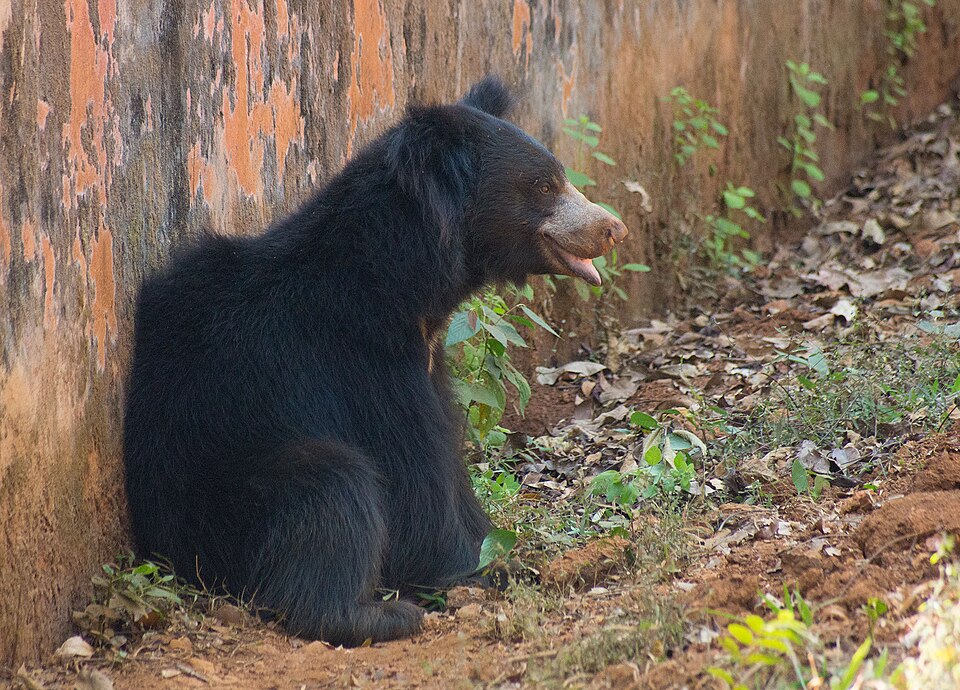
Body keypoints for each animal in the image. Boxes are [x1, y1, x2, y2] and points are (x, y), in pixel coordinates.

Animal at [123, 76, 628, 646]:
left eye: (560, 178)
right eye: (543, 186)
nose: (613, 228)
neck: (401, 281)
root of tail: (165, 551)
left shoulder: (427, 362)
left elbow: (448, 461)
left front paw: (497, 549)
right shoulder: (361, 360)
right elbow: (414, 472)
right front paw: (483, 570)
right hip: (227, 504)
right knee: (334, 487)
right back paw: (376, 616)